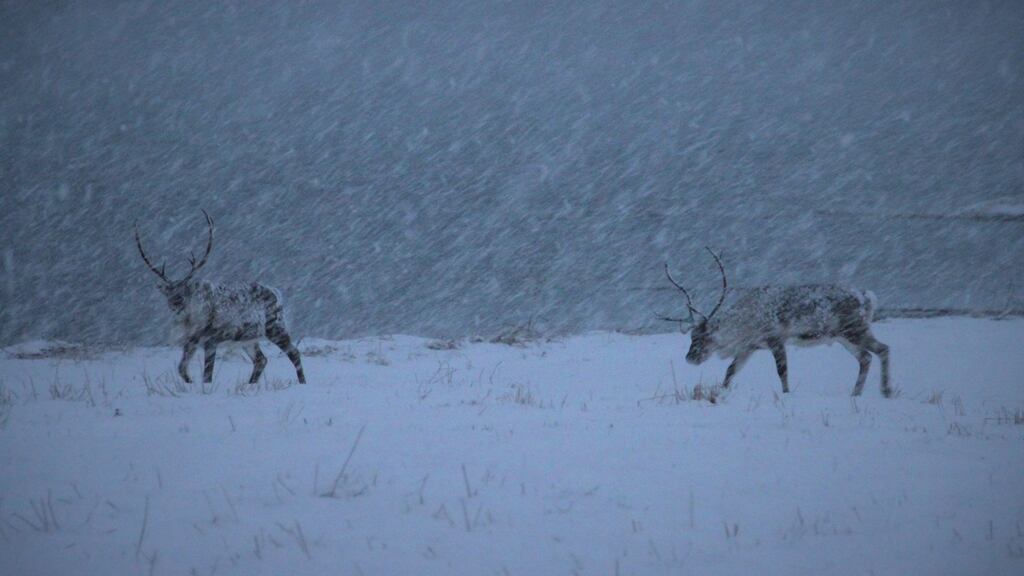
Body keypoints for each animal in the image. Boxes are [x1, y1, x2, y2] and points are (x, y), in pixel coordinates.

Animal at [134, 210, 306, 385]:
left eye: (185, 290)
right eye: (169, 292)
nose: (176, 303)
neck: (191, 320)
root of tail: (277, 292)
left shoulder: (211, 339)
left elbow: (207, 375)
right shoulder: (190, 341)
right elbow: (182, 369)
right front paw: (190, 383)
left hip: (275, 326)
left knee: (293, 353)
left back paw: (302, 382)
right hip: (248, 338)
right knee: (261, 359)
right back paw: (250, 384)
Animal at [661, 249, 891, 397]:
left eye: (703, 337)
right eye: (692, 336)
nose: (690, 358)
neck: (743, 323)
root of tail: (868, 297)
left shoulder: (775, 339)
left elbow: (782, 371)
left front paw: (786, 394)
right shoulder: (749, 347)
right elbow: (731, 370)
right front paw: (721, 392)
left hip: (855, 330)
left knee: (882, 349)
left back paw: (885, 390)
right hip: (844, 337)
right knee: (865, 358)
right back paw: (856, 393)